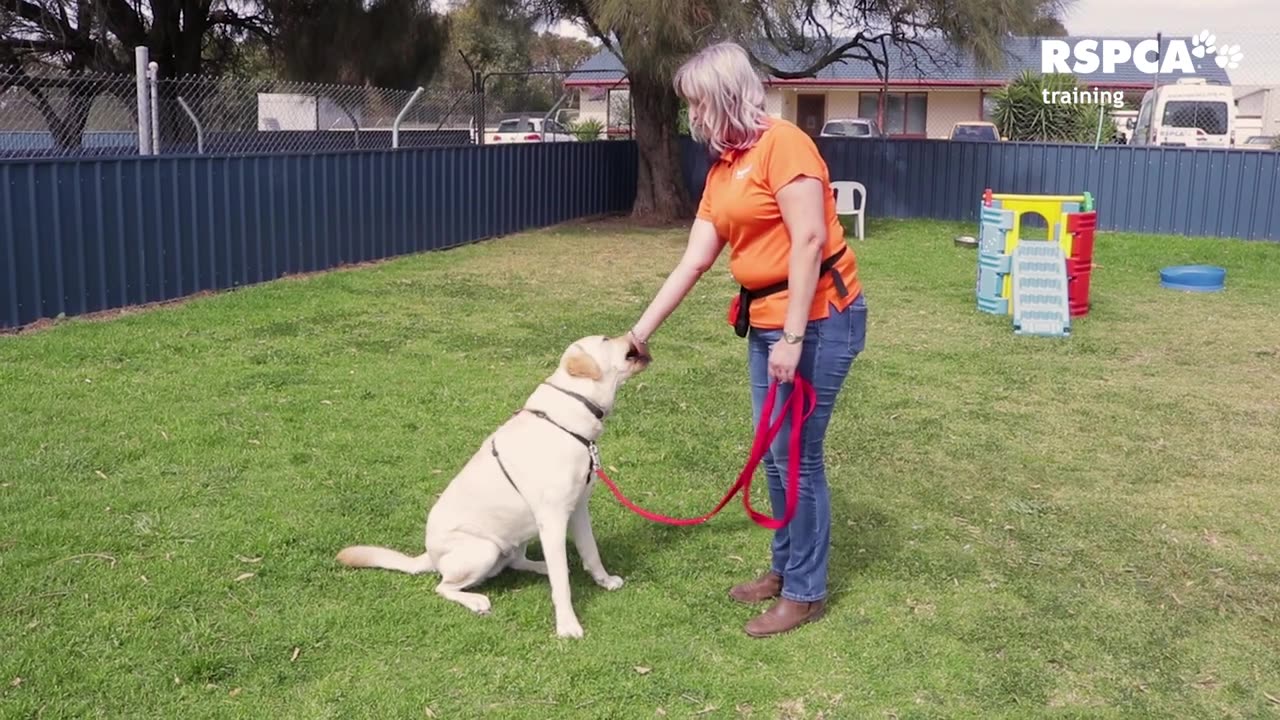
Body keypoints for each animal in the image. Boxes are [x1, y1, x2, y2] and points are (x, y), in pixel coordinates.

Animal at [335, 333, 650, 635]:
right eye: (606, 340)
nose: (636, 337)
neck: (569, 417)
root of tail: (429, 557)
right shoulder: (553, 519)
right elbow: (561, 584)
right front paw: (567, 625)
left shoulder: (579, 508)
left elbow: (591, 552)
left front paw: (604, 581)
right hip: (484, 549)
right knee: (443, 586)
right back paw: (477, 600)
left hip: (521, 534)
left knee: (516, 561)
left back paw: (541, 566)